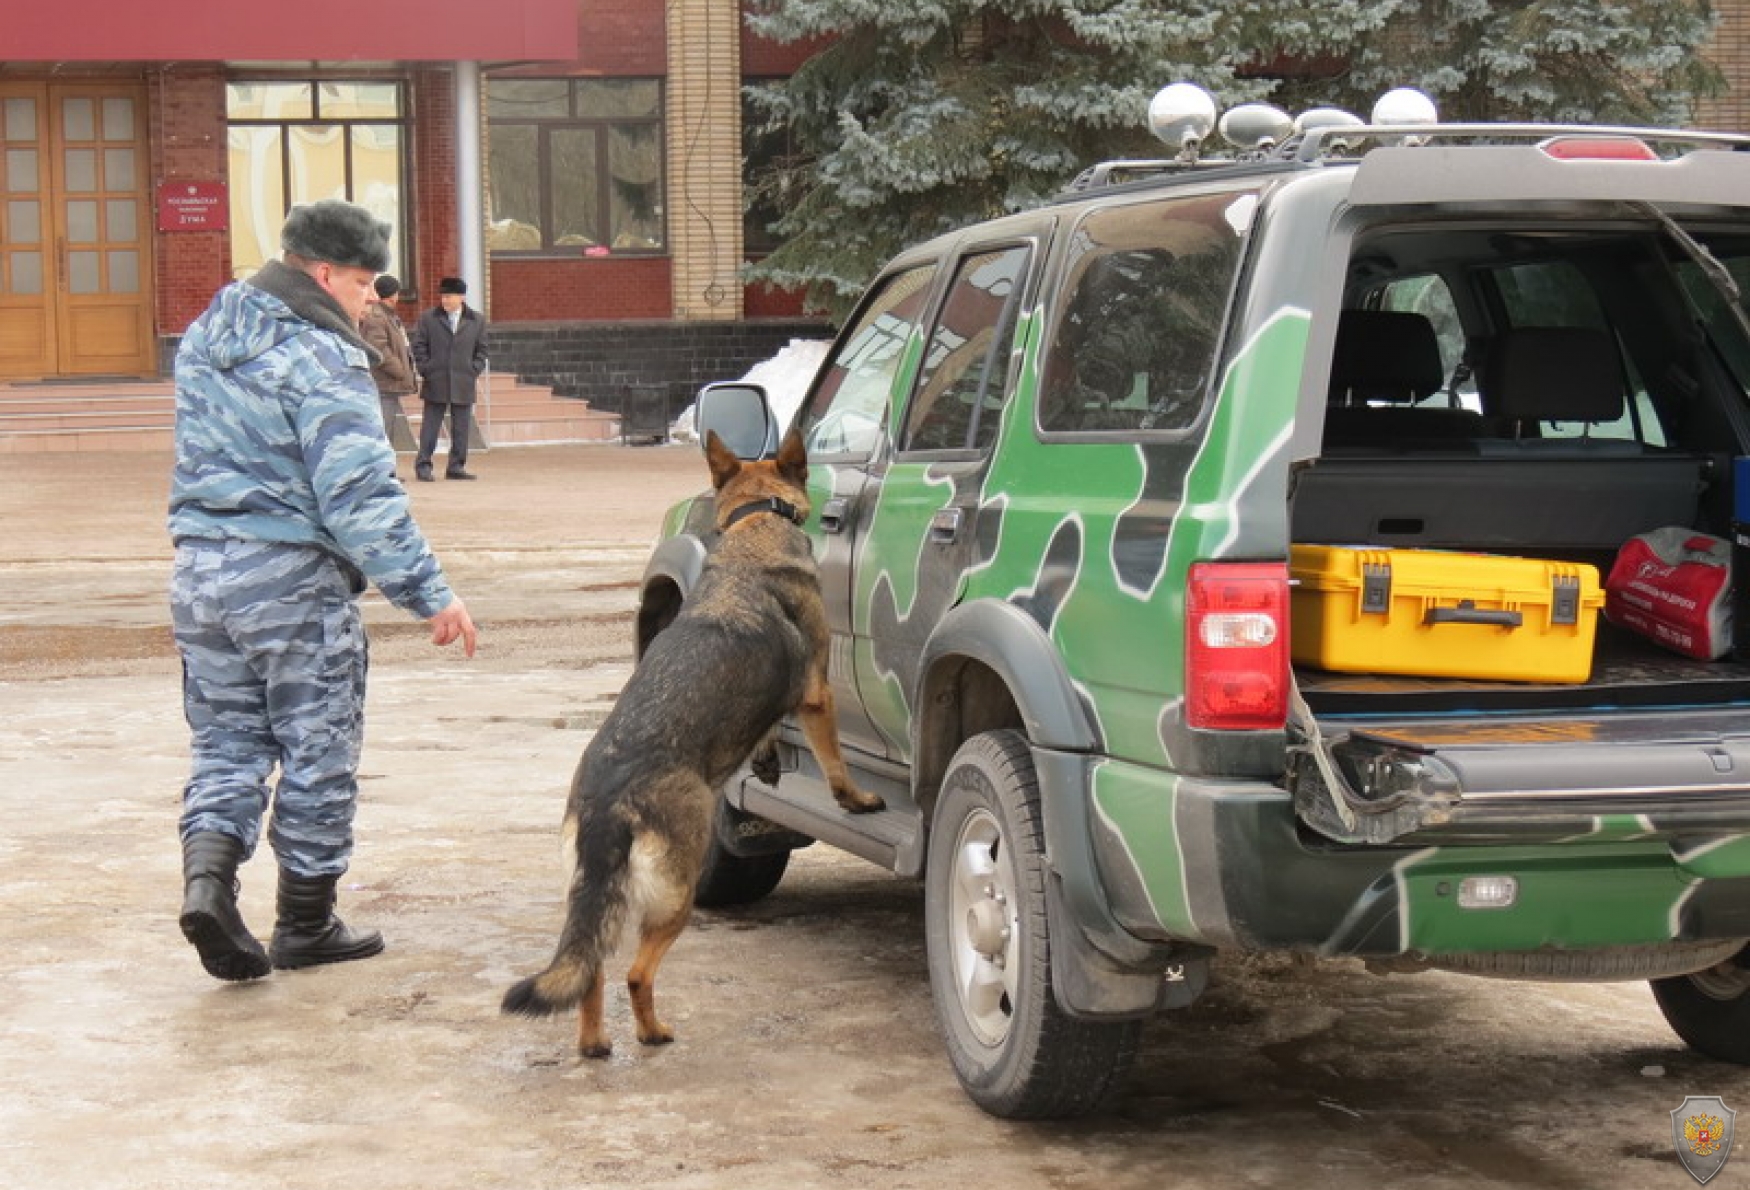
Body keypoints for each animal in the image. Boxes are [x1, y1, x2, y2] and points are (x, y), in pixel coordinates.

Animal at [507, 425, 889, 1050]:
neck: (755, 528)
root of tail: (609, 801)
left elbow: (765, 731)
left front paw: (766, 761)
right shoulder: (818, 695)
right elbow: (835, 762)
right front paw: (856, 799)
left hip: (600, 898)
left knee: (592, 969)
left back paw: (595, 1044)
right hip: (676, 896)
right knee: (636, 973)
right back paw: (652, 1032)